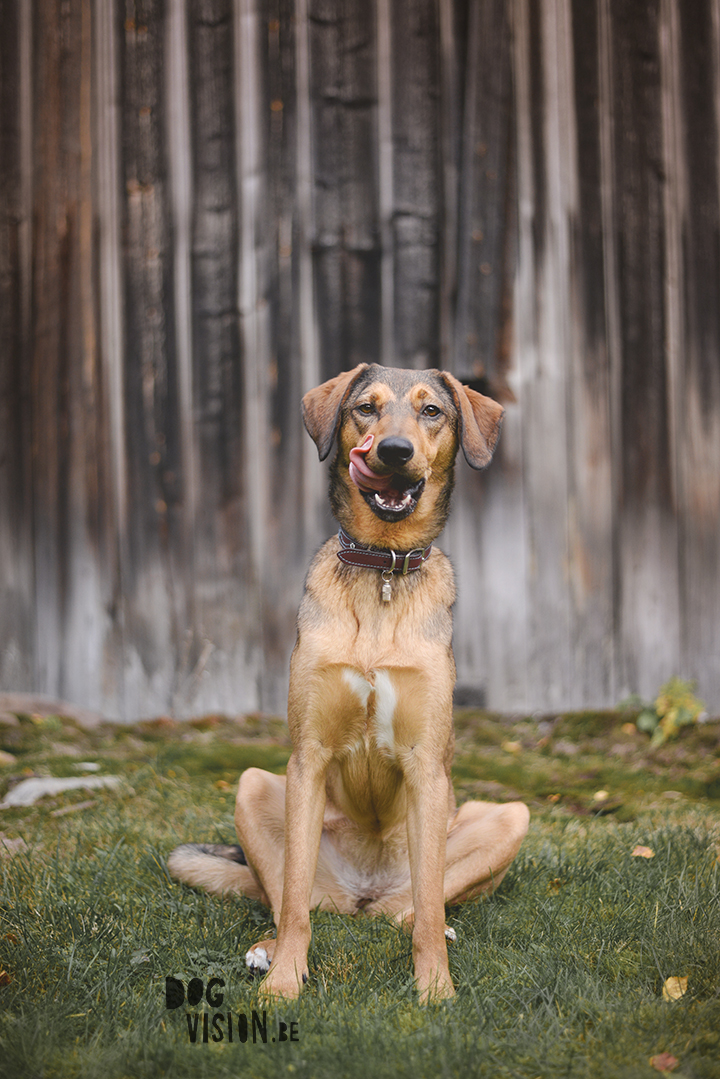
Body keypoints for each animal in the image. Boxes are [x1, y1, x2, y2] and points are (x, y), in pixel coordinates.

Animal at [169, 364, 528, 1001]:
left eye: (431, 411)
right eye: (366, 408)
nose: (393, 451)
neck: (382, 570)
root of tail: (362, 895)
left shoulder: (426, 764)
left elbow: (430, 907)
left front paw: (436, 989)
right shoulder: (307, 757)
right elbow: (292, 903)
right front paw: (284, 980)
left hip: (509, 817)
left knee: (416, 905)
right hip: (255, 788)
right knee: (291, 897)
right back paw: (267, 946)